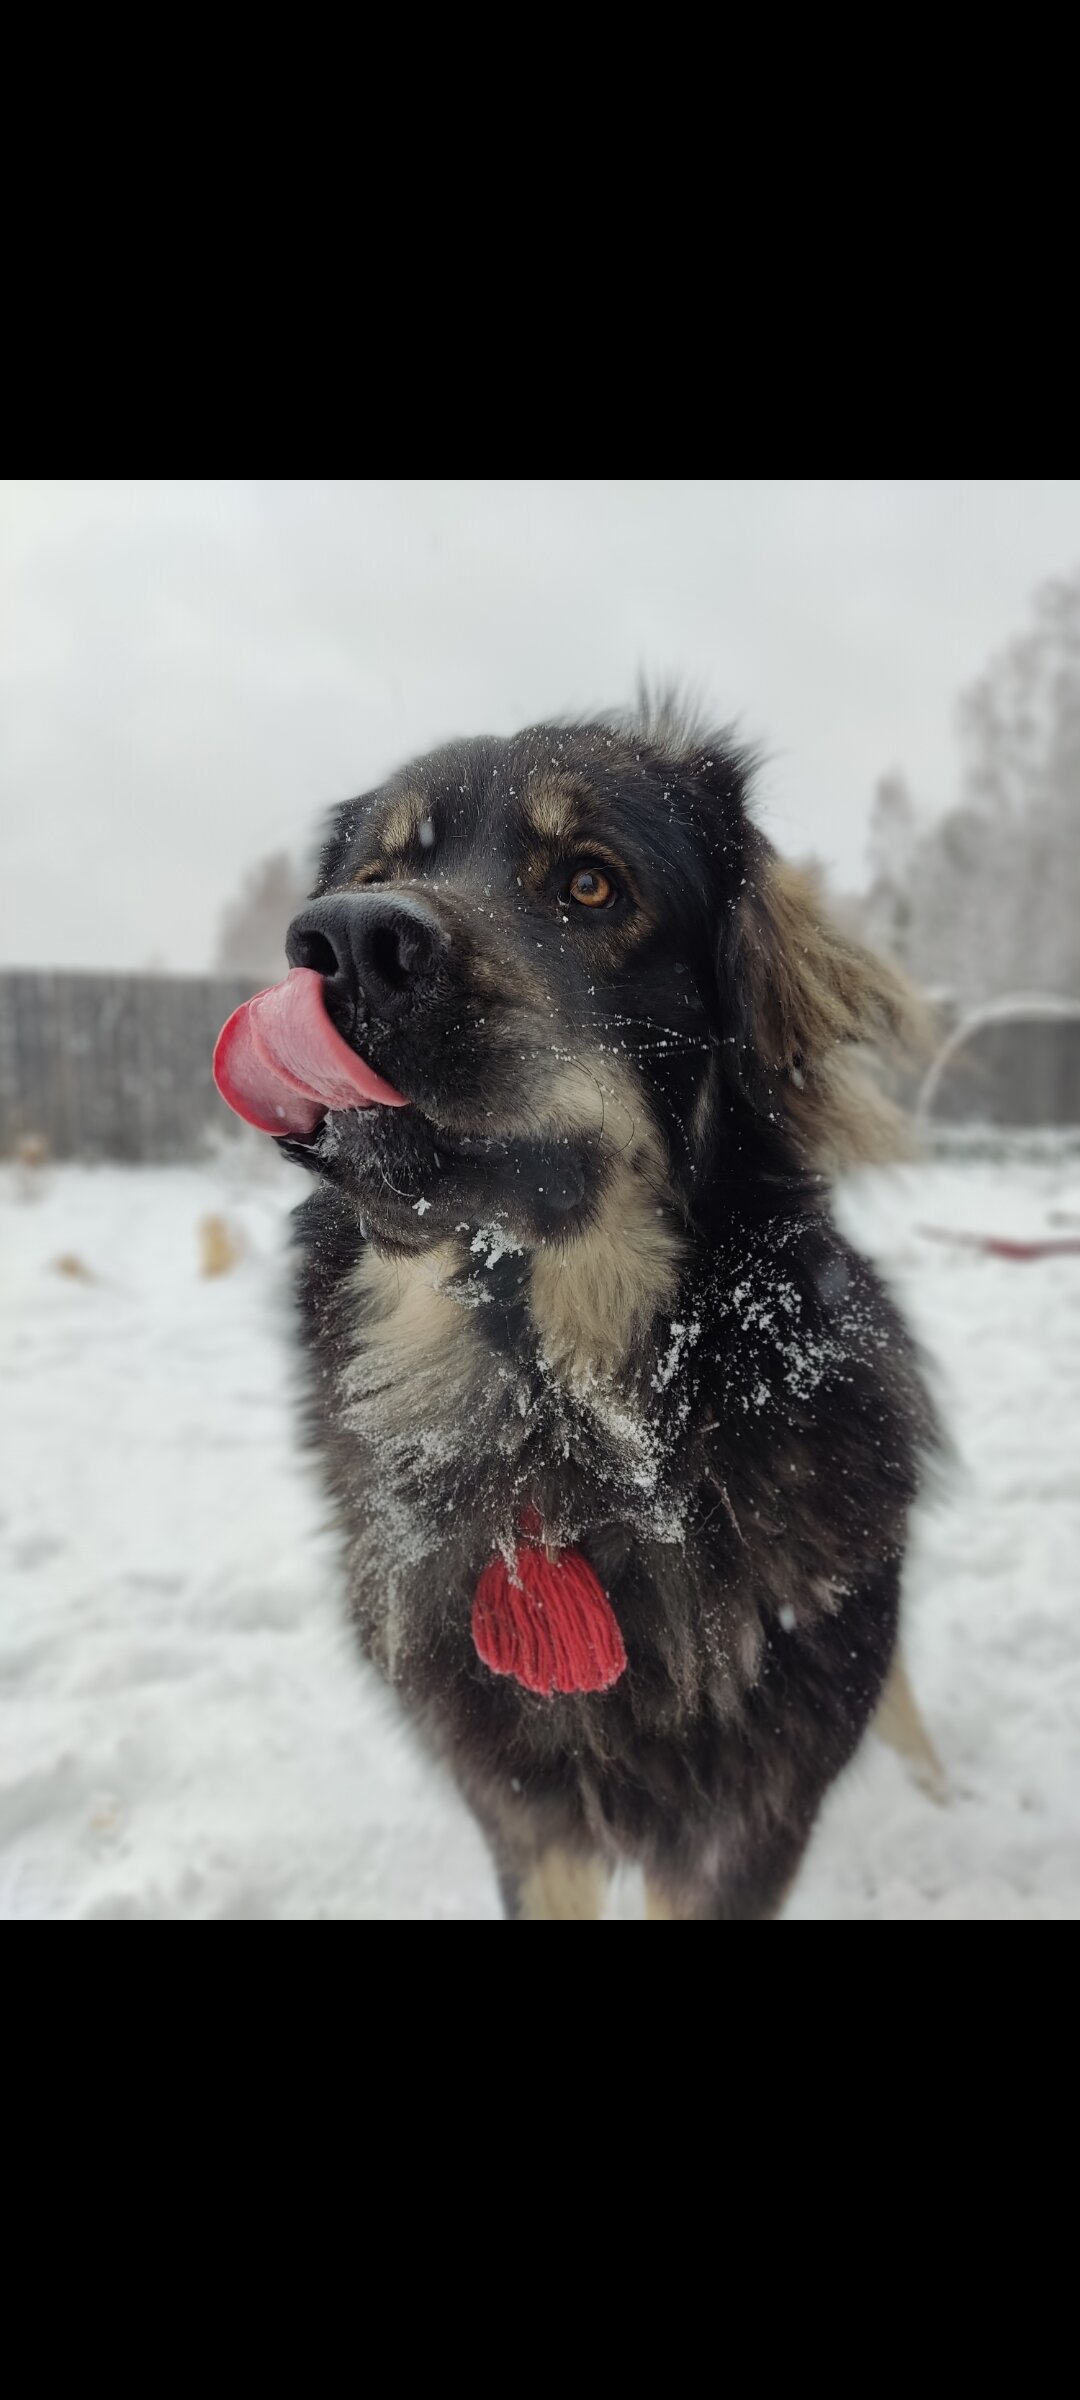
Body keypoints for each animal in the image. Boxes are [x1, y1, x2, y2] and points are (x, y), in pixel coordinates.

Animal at [225, 700, 936, 1920]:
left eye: (592, 885)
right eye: (375, 875)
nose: (347, 941)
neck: (553, 1431)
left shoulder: (748, 1830)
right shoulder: (522, 1818)